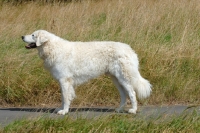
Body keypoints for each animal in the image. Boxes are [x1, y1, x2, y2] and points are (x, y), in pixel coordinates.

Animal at [21, 29, 152, 114]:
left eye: (33, 35)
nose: (22, 37)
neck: (52, 47)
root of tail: (130, 49)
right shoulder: (63, 81)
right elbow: (64, 97)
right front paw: (61, 109)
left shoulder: (65, 80)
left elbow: (65, 97)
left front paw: (64, 111)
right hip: (116, 79)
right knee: (124, 95)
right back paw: (119, 109)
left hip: (124, 78)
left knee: (132, 93)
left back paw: (133, 110)